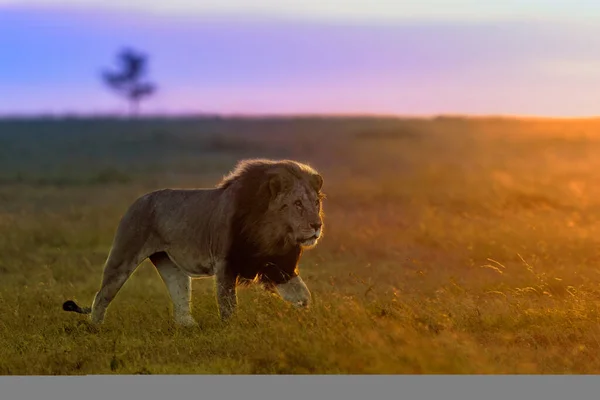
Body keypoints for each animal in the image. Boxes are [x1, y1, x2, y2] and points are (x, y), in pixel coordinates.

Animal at [62, 158, 326, 326]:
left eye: (316, 202)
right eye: (297, 204)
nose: (317, 225)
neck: (272, 233)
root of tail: (138, 200)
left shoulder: (279, 267)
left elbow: (304, 296)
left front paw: (308, 321)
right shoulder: (225, 263)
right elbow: (228, 304)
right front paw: (232, 330)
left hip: (171, 266)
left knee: (180, 299)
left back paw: (189, 327)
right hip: (123, 256)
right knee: (102, 295)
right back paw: (96, 328)